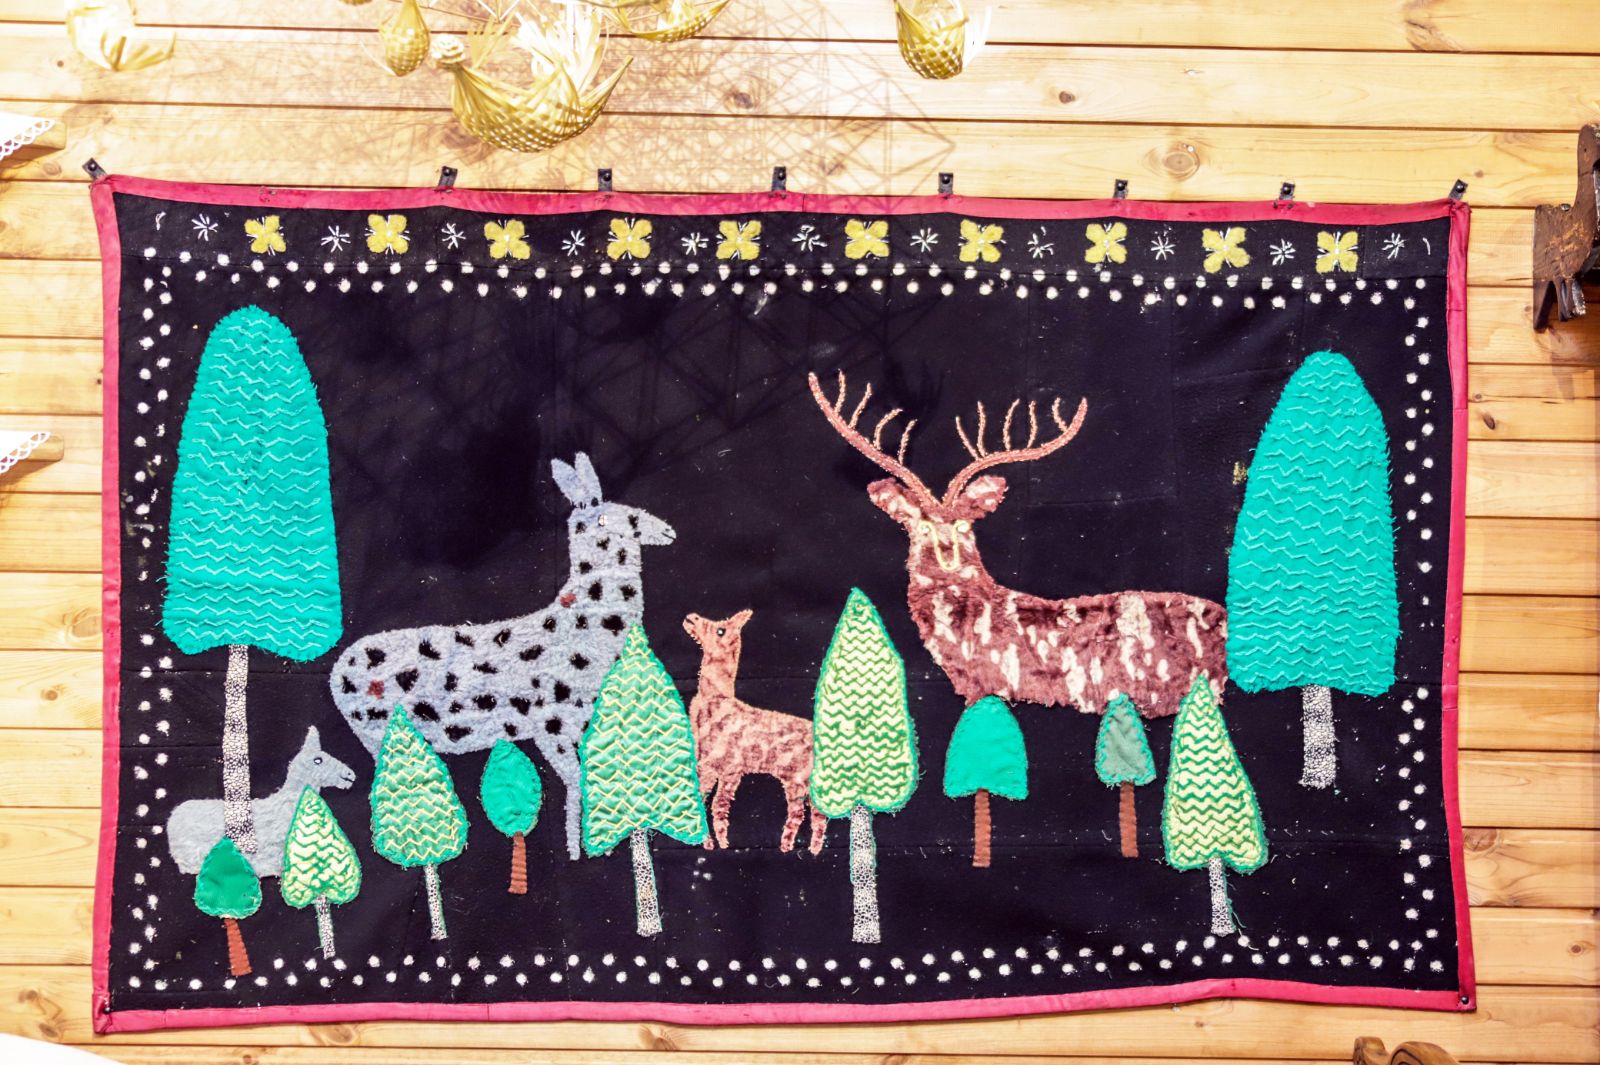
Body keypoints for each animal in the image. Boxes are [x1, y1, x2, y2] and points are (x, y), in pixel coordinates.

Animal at [328, 453, 676, 860]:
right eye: (620, 517)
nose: (669, 531)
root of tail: (337, 674)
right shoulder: (552, 725)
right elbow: (577, 783)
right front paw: (579, 849)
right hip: (380, 732)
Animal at [682, 610, 827, 856]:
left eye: (721, 629)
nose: (691, 617)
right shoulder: (725, 770)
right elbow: (714, 806)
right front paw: (718, 845)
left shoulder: (720, 766)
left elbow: (711, 805)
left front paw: (715, 845)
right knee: (812, 815)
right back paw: (805, 850)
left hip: (798, 778)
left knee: (804, 815)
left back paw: (794, 849)